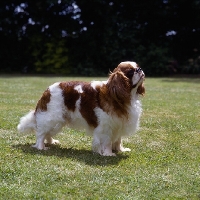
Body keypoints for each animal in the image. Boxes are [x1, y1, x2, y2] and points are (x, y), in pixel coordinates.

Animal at [17, 61, 145, 156]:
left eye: (138, 66)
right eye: (131, 71)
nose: (140, 69)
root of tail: (46, 91)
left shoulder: (118, 124)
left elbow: (118, 140)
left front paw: (120, 150)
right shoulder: (106, 126)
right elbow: (107, 141)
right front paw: (108, 154)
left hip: (58, 121)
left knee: (47, 133)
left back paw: (51, 142)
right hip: (51, 117)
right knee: (41, 133)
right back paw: (41, 147)